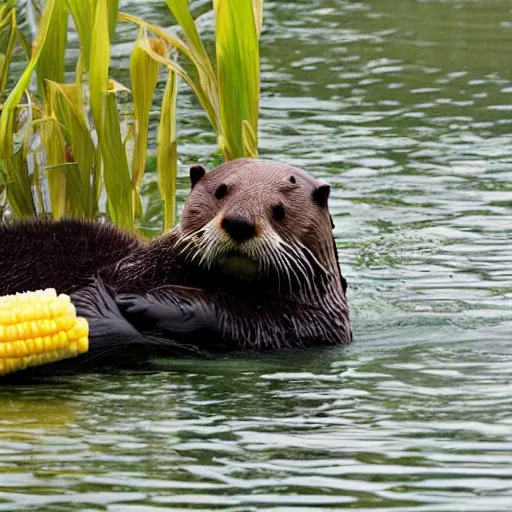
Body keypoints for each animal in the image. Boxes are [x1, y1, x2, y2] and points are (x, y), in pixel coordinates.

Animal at [0, 158, 352, 366]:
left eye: (279, 210)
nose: (239, 222)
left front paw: (144, 303)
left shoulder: (312, 325)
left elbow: (238, 317)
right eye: (221, 192)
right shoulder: (134, 266)